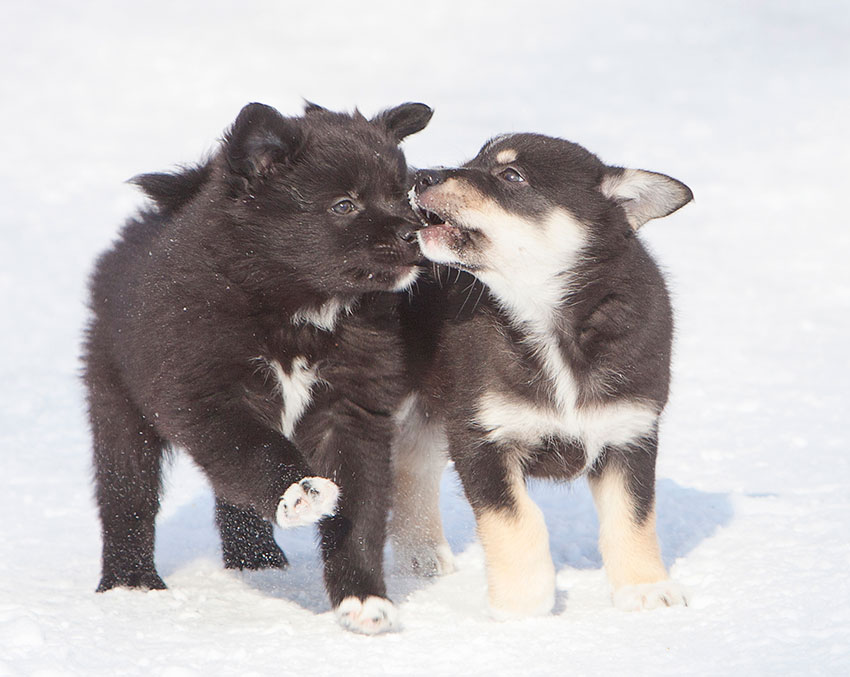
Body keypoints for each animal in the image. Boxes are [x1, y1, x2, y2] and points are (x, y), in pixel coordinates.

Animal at [82, 100, 432, 634]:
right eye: (344, 205)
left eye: (403, 193)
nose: (415, 233)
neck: (298, 313)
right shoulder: (210, 398)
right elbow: (260, 451)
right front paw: (301, 491)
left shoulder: (352, 412)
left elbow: (360, 512)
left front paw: (363, 601)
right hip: (117, 399)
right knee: (127, 495)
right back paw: (131, 585)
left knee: (232, 501)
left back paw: (257, 562)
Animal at [393, 132, 693, 618]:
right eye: (472, 159)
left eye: (511, 176)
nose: (419, 177)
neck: (549, 322)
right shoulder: (481, 436)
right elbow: (516, 521)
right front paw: (523, 605)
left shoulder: (630, 434)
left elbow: (632, 518)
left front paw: (645, 589)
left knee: (411, 464)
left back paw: (420, 552)